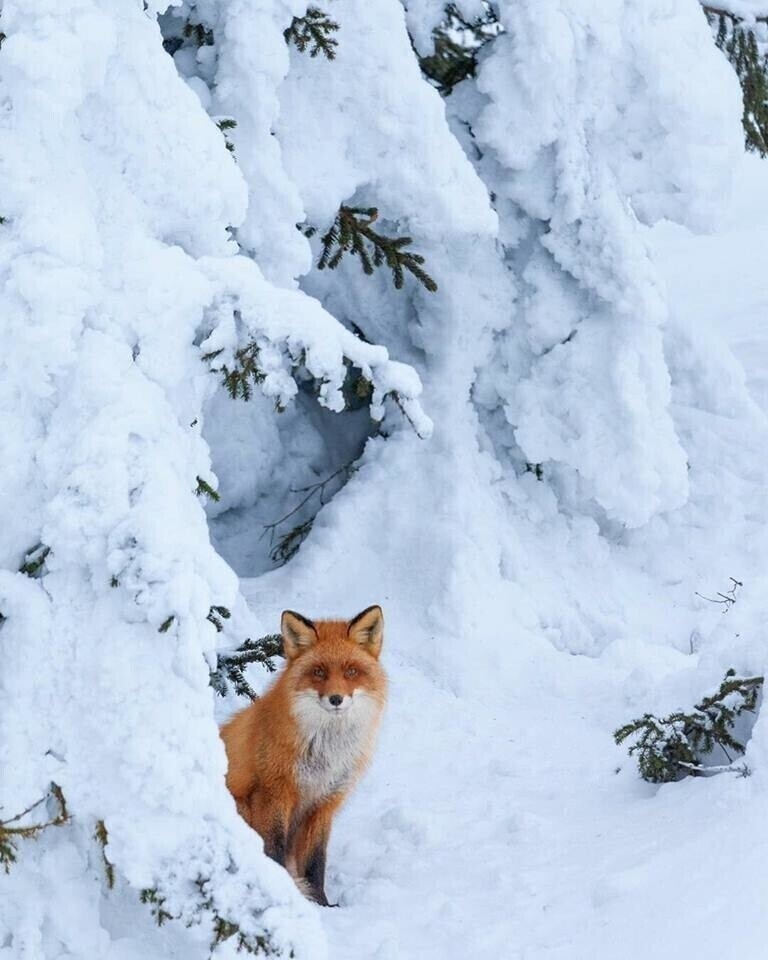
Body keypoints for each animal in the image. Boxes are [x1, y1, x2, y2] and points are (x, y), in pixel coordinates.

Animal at [219, 604, 388, 904]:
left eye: (351, 671)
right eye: (319, 672)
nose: (336, 699)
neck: (326, 752)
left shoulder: (324, 803)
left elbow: (315, 862)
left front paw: (323, 904)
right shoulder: (273, 792)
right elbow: (273, 849)